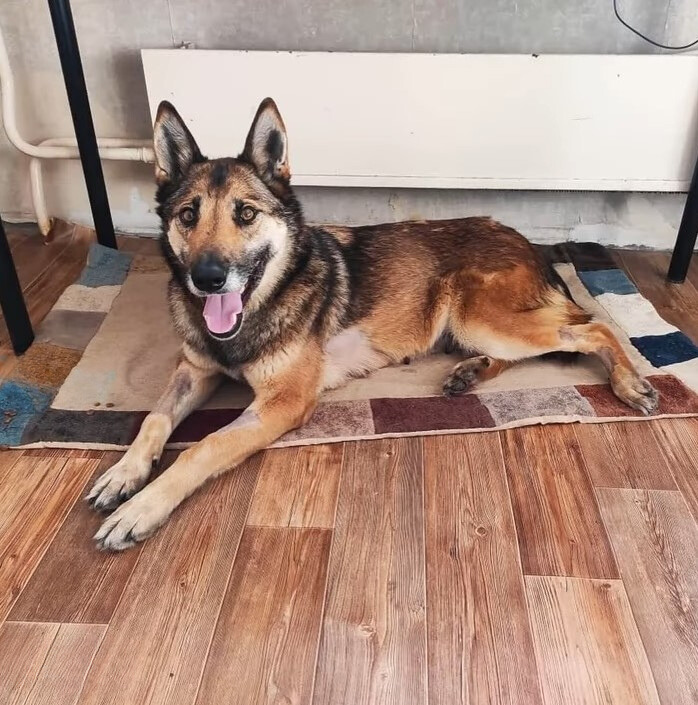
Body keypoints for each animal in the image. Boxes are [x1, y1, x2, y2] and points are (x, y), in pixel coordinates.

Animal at [85, 97, 652, 552]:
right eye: (188, 215)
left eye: (245, 214)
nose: (206, 279)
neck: (261, 305)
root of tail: (521, 238)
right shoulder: (193, 370)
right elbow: (154, 419)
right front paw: (123, 473)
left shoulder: (281, 404)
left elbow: (204, 446)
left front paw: (141, 507)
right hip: (475, 328)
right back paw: (469, 373)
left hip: (477, 316)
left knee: (592, 330)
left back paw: (629, 384)